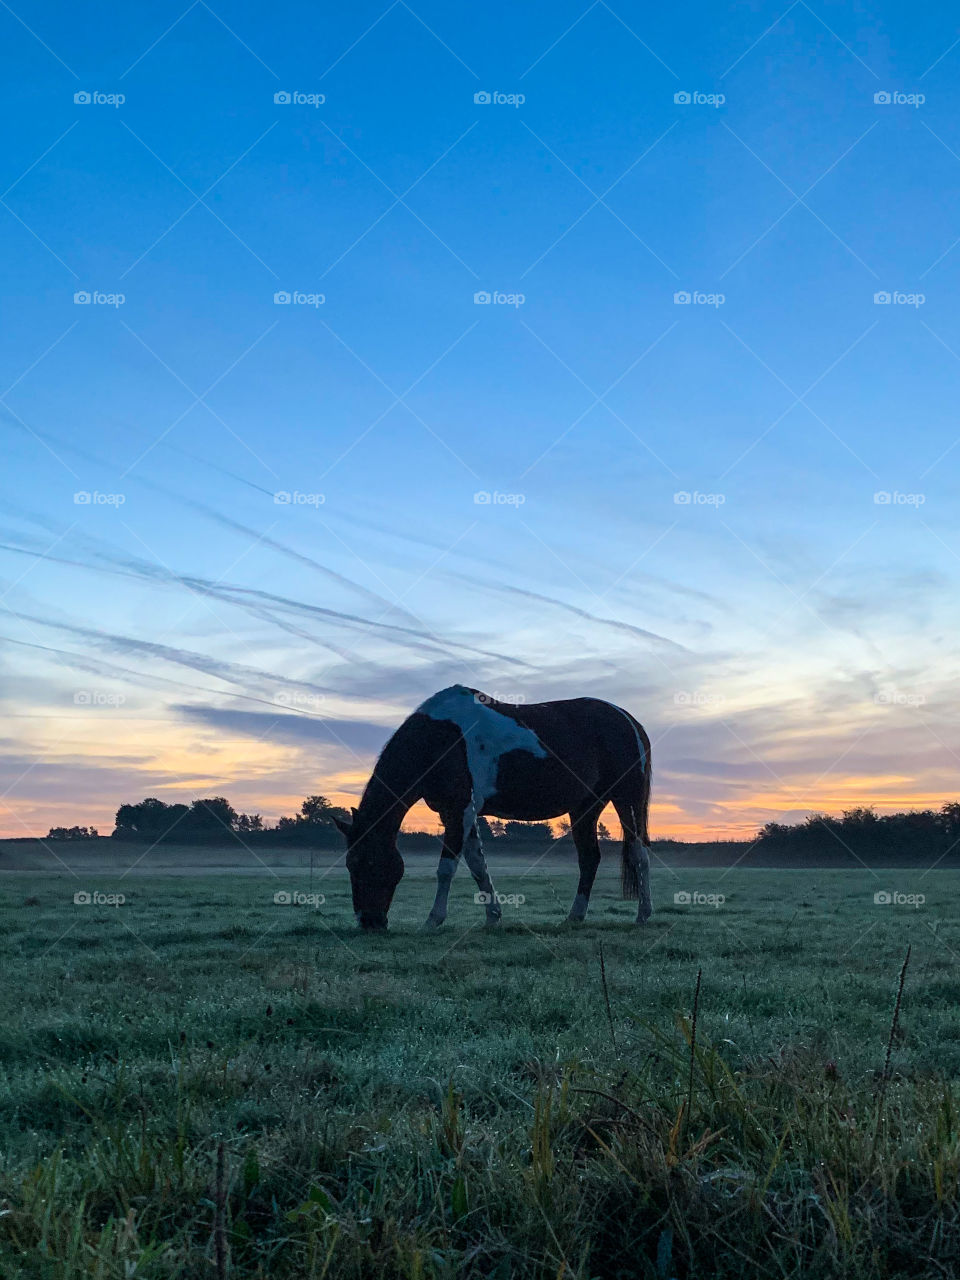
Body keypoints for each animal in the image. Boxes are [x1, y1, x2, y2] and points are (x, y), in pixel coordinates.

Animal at [332, 691, 655, 931]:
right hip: (585, 808)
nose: (369, 922)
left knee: (639, 854)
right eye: (350, 864)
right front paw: (493, 917)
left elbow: (447, 868)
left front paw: (433, 920)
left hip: (626, 799)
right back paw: (574, 917)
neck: (442, 738)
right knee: (589, 859)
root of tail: (629, 721)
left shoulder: (458, 811)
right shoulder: (460, 814)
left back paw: (643, 915)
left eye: (367, 863)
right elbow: (477, 864)